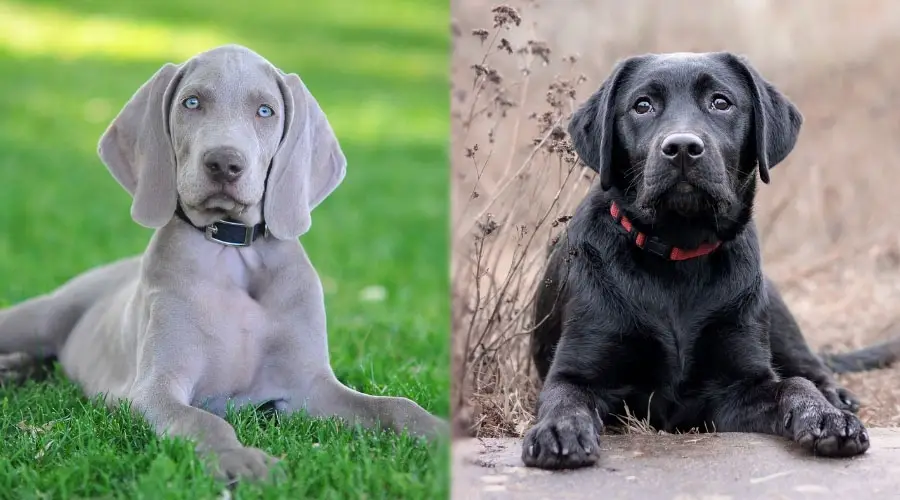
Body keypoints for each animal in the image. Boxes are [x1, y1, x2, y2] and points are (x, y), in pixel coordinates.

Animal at [0, 45, 444, 482]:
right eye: (192, 102)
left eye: (265, 110)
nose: (225, 163)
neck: (233, 252)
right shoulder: (154, 388)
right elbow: (203, 421)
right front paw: (240, 459)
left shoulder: (311, 386)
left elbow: (394, 404)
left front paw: (440, 433)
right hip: (39, 316)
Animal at [524, 49, 896, 468]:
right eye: (642, 105)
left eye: (721, 102)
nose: (683, 147)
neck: (678, 255)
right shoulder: (577, 370)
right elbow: (564, 398)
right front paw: (559, 430)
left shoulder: (740, 386)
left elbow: (793, 385)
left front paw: (827, 417)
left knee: (810, 367)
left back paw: (836, 398)